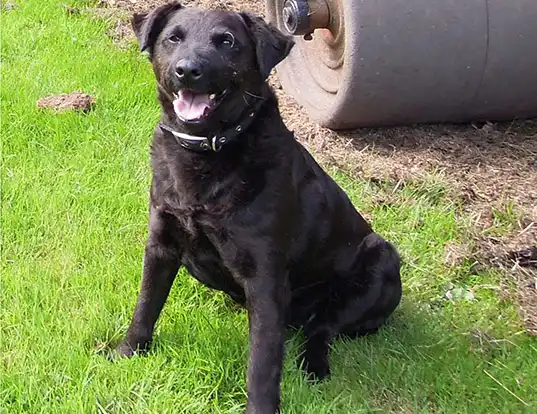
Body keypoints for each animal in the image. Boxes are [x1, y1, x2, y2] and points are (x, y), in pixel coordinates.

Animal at [116, 4, 402, 414]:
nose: (188, 69)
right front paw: (127, 352)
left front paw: (262, 406)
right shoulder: (161, 245)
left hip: (379, 263)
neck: (208, 153)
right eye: (173, 38)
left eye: (226, 41)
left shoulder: (265, 279)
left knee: (322, 328)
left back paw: (314, 366)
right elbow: (145, 305)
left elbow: (263, 363)